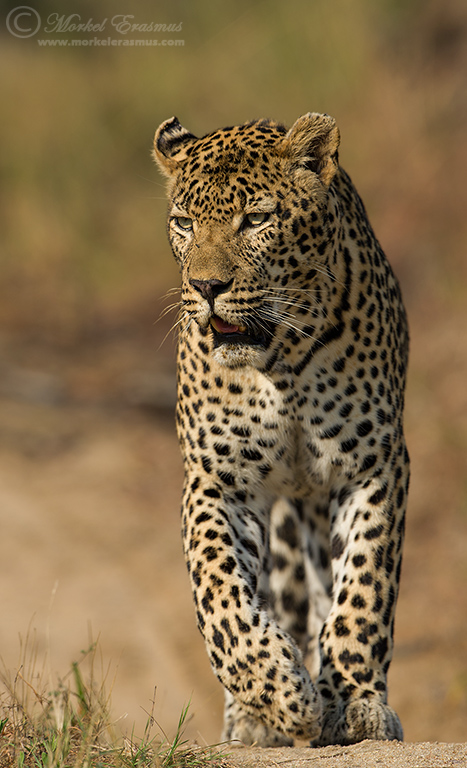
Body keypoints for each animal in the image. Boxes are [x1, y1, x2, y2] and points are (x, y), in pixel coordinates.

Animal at [153, 112, 409, 747]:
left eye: (257, 219)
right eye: (184, 223)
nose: (206, 288)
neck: (281, 360)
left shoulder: (372, 465)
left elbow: (363, 589)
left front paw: (355, 702)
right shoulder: (219, 480)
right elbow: (219, 593)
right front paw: (281, 693)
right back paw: (252, 719)